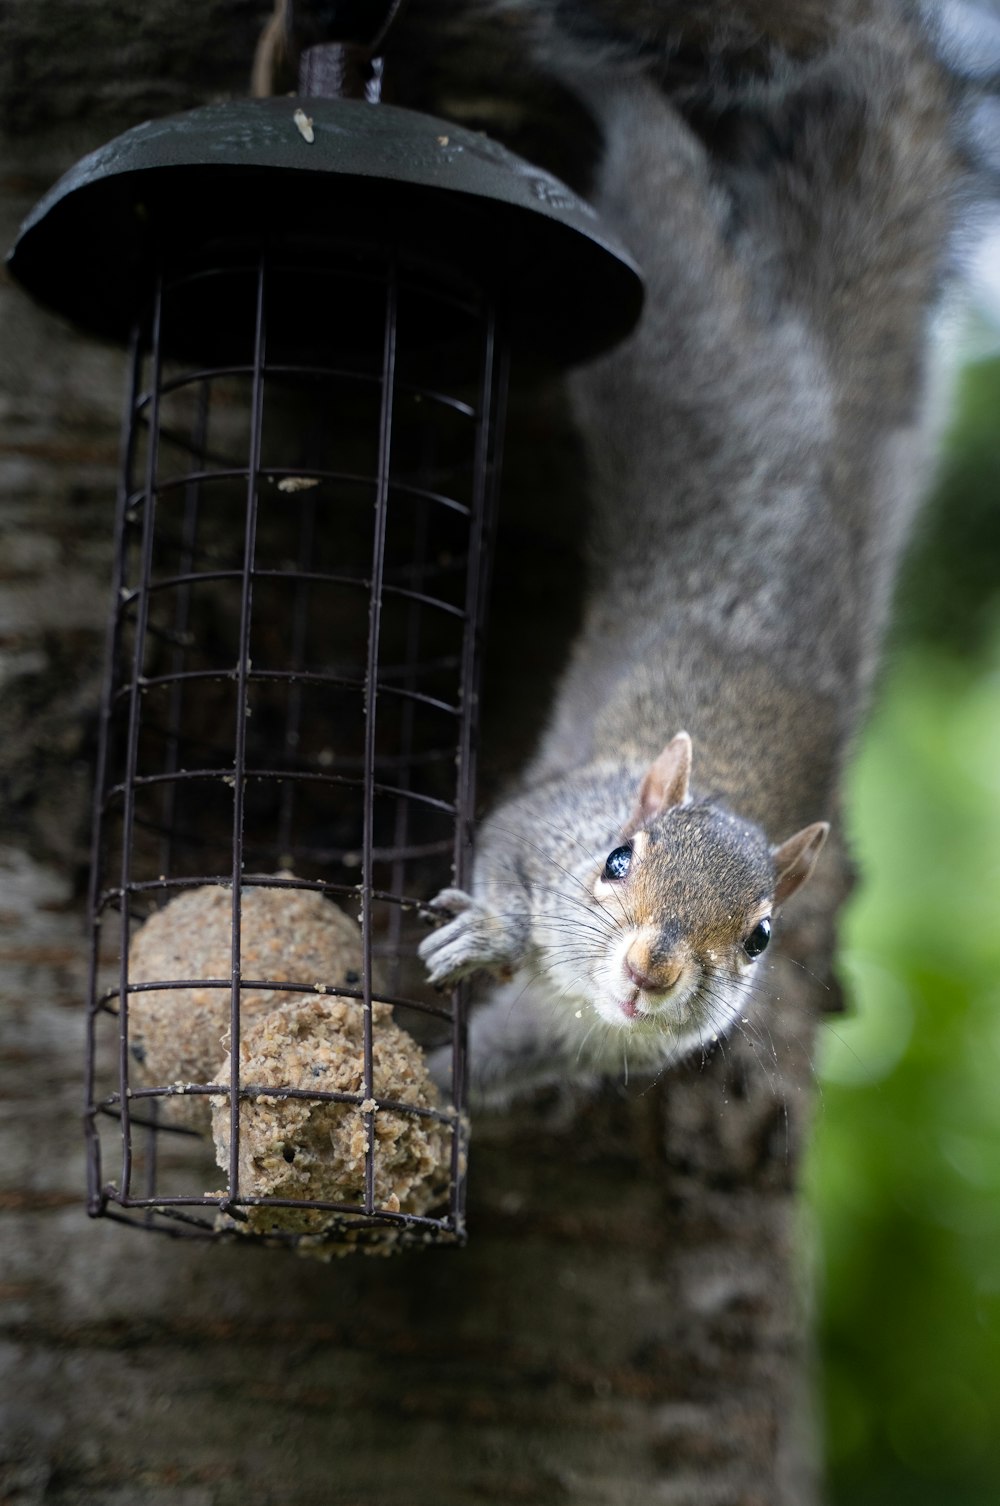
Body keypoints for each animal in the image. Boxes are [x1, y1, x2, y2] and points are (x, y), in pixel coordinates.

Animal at [418, 0, 969, 1108]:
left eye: (759, 937)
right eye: (617, 860)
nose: (652, 969)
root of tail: (821, 421)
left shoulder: (586, 1039)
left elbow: (507, 1056)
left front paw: (428, 1084)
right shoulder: (546, 818)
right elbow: (500, 851)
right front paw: (486, 932)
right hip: (686, 338)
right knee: (657, 176)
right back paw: (582, 68)